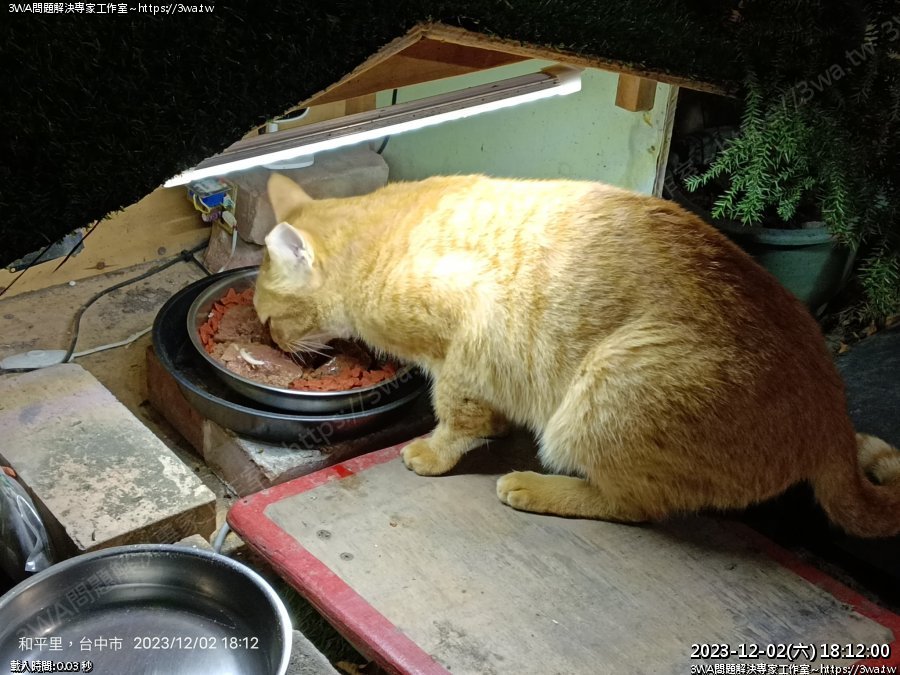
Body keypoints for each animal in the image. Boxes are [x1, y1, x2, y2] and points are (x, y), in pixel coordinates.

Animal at [254, 172, 900, 537]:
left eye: (265, 320)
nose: (275, 344)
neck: (380, 236)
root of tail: (832, 413)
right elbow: (482, 410)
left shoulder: (468, 335)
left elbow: (454, 411)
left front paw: (436, 451)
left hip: (607, 388)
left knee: (636, 506)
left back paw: (534, 488)